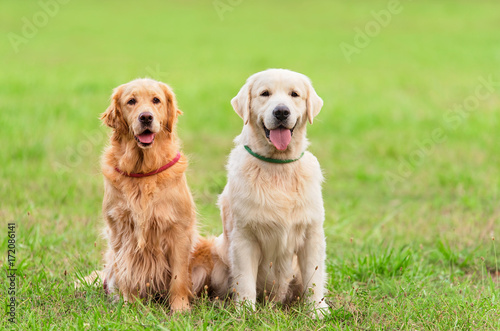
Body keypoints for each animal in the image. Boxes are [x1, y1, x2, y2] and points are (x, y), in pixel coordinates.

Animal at [97, 78, 197, 314]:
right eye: (131, 101)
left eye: (156, 100)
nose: (146, 117)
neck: (142, 171)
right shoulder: (121, 231)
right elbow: (127, 272)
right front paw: (129, 305)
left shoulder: (179, 231)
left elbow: (179, 278)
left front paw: (180, 309)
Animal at [193, 68, 330, 318]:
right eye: (264, 93)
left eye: (294, 94)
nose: (281, 111)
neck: (278, 167)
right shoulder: (244, 236)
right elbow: (245, 280)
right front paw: (246, 311)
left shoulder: (312, 234)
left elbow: (314, 278)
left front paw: (317, 310)